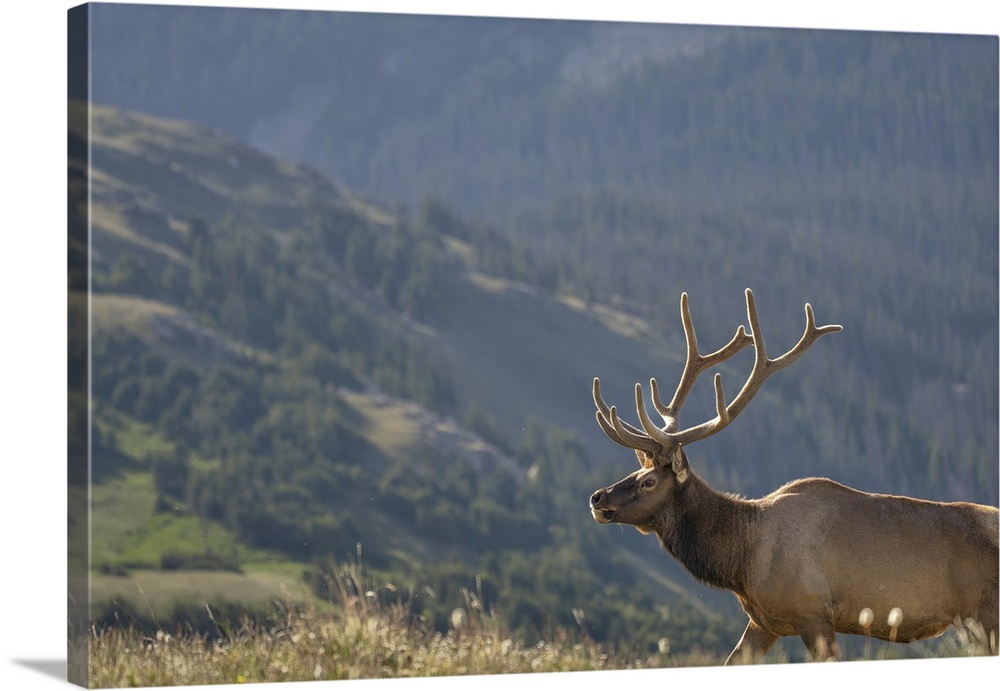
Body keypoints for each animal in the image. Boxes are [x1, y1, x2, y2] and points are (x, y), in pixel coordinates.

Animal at [589, 288, 999, 663]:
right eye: (637, 468)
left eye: (649, 481)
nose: (597, 498)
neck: (742, 561)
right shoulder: (764, 622)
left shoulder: (812, 613)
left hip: (984, 614)